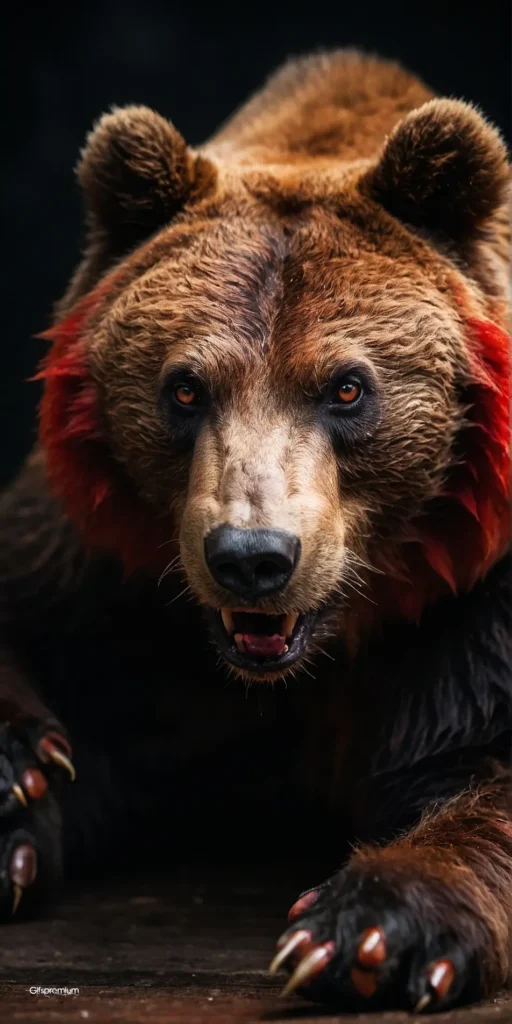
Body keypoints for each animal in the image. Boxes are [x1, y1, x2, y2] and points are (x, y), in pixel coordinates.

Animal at [0, 48, 510, 1014]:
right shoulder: (106, 578)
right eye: (184, 387)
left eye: (347, 387)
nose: (252, 558)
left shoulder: (467, 612)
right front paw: (19, 776)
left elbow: (479, 764)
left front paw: (364, 931)